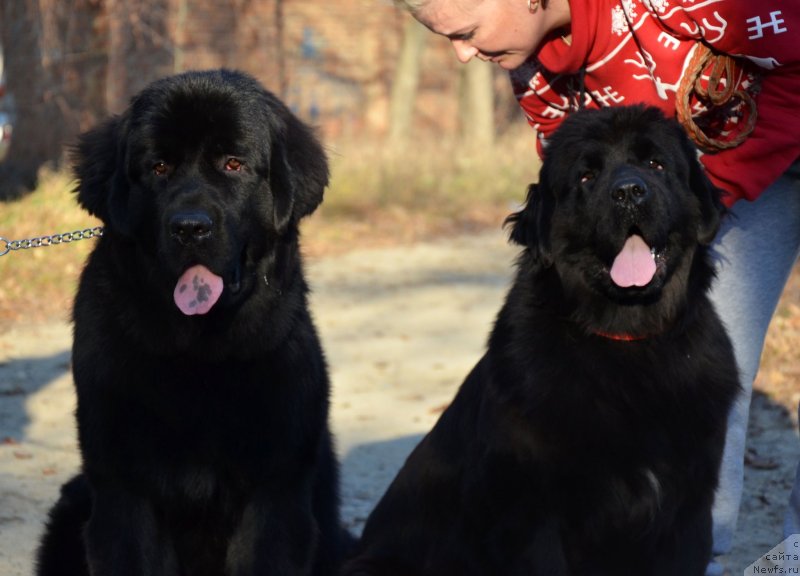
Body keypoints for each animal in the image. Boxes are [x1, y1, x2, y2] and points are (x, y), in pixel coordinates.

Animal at [35, 71, 350, 576]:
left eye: (234, 164)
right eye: (159, 167)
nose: (189, 227)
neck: (199, 352)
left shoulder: (275, 492)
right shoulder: (124, 490)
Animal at [340, 106, 740, 572]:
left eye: (655, 164)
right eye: (587, 175)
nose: (628, 193)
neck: (627, 340)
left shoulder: (686, 511)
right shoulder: (534, 519)